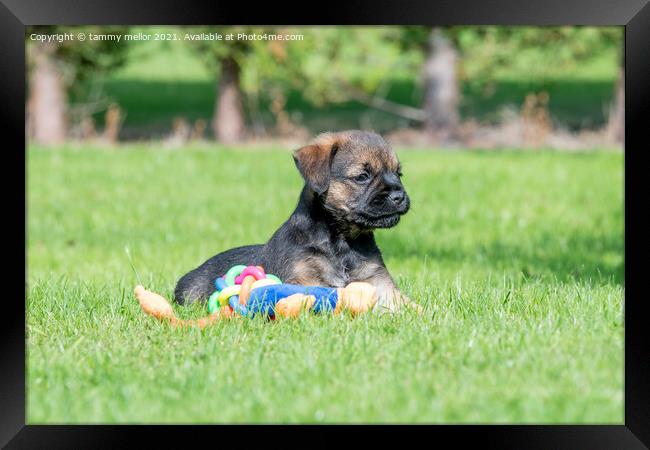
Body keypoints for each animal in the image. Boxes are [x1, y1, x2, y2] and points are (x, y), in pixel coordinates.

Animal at [173, 130, 416, 312]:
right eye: (362, 177)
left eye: (399, 174)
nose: (399, 196)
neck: (342, 242)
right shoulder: (304, 280)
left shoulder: (378, 282)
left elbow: (407, 305)